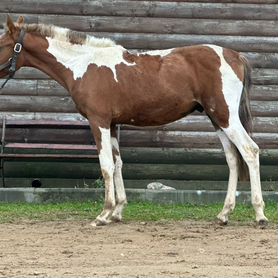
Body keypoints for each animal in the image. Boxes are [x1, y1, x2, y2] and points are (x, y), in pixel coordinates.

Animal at [0, 16, 270, 226]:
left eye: (3, 43)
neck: (83, 64)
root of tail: (234, 55)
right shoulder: (112, 125)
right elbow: (118, 164)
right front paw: (118, 211)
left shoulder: (98, 121)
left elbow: (106, 166)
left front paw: (103, 214)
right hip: (217, 119)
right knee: (233, 159)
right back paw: (224, 214)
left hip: (226, 117)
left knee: (249, 151)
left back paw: (259, 215)